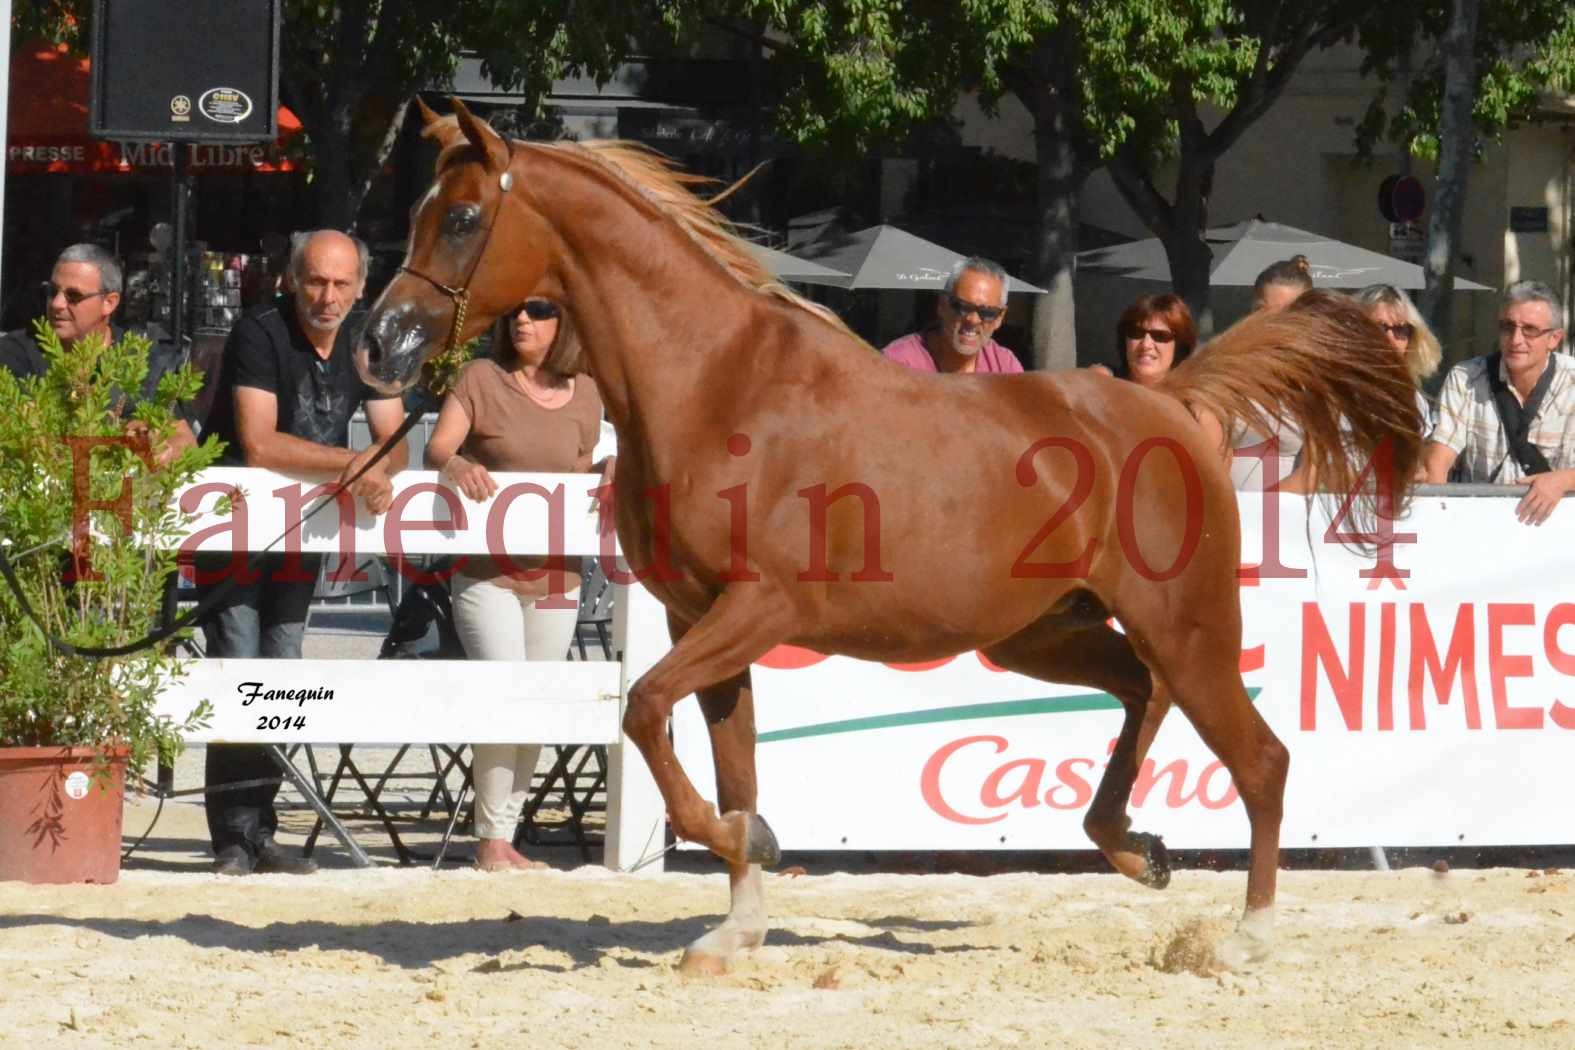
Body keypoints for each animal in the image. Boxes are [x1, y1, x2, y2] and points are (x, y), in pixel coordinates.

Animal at [360, 102, 1430, 976]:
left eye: (463, 218)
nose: (380, 344)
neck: (714, 385)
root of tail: (1167, 403)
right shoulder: (697, 619)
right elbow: (725, 756)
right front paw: (736, 923)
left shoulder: (757, 609)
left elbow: (647, 713)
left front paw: (754, 844)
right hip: (1043, 633)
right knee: (1141, 693)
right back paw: (1137, 849)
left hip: (1187, 625)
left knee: (1259, 759)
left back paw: (1245, 937)